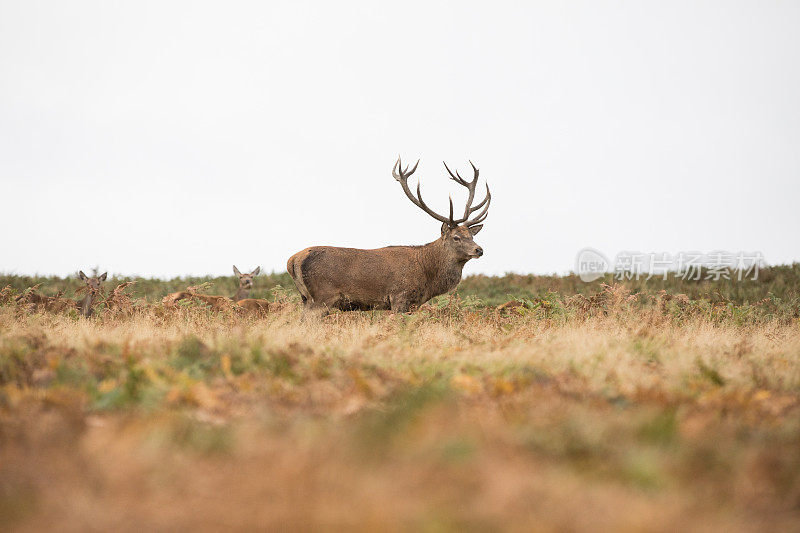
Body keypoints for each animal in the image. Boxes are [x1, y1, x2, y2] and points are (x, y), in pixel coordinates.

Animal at [284, 156, 490, 312]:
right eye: (456, 237)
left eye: (472, 236)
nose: (479, 250)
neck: (427, 274)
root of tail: (293, 260)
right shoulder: (400, 297)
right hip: (321, 297)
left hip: (306, 298)